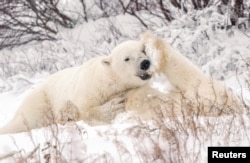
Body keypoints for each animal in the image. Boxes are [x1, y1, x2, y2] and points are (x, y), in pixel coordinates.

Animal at [0, 38, 154, 134]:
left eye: (143, 50)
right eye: (126, 58)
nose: (145, 63)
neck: (109, 81)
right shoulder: (89, 89)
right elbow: (83, 110)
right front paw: (114, 105)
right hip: (40, 100)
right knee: (28, 121)